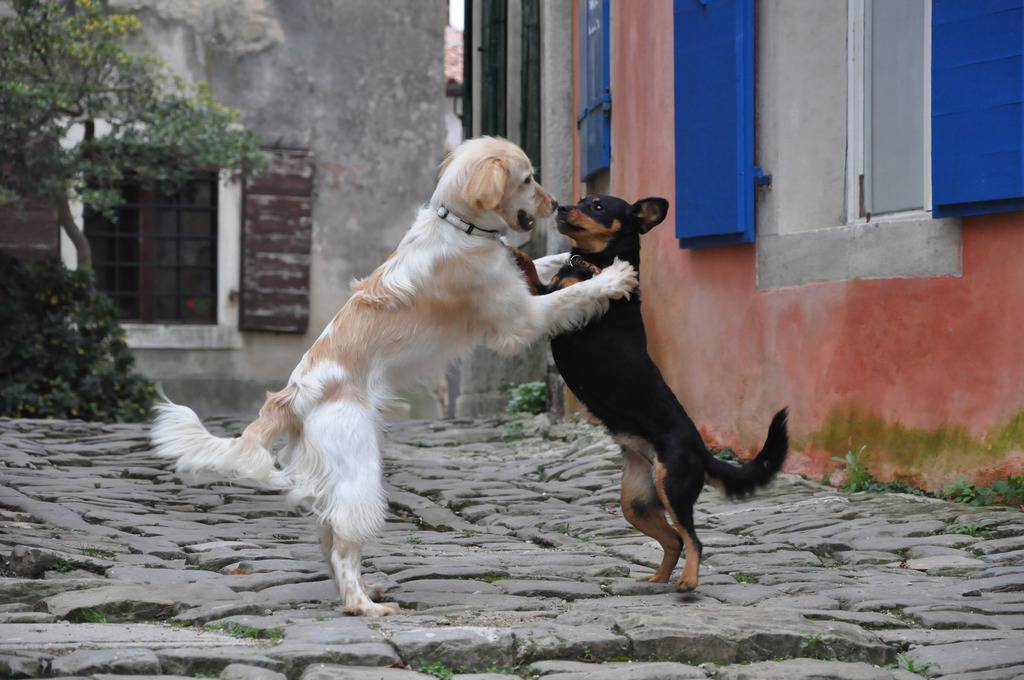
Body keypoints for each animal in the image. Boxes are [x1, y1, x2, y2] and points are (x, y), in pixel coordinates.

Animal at [151, 137, 634, 614]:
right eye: (528, 178)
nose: (557, 205)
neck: (461, 227)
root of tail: (291, 396)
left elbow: (546, 261)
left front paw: (576, 259)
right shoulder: (520, 318)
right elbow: (567, 296)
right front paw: (612, 278)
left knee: (328, 536)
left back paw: (366, 591)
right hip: (359, 473)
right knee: (343, 544)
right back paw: (363, 604)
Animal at [516, 195, 786, 589]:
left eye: (597, 206)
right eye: (581, 202)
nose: (562, 207)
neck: (594, 263)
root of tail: (701, 451)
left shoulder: (562, 303)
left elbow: (539, 280)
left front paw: (518, 256)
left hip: (673, 486)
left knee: (693, 539)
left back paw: (687, 582)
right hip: (637, 502)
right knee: (674, 539)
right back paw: (658, 578)